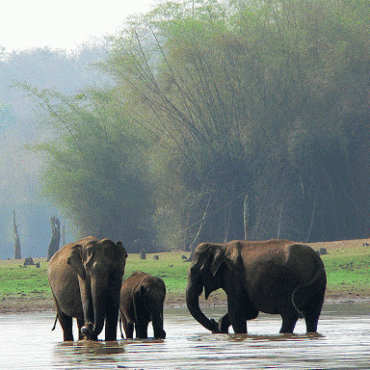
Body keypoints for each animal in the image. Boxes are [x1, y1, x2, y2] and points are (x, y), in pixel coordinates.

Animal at [186, 240, 326, 336]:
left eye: (193, 270)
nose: (214, 324)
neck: (220, 246)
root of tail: (316, 259)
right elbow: (249, 311)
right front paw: (222, 325)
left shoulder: (233, 275)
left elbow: (237, 312)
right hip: (319, 285)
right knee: (312, 316)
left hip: (289, 284)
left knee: (290, 315)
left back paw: (283, 333)